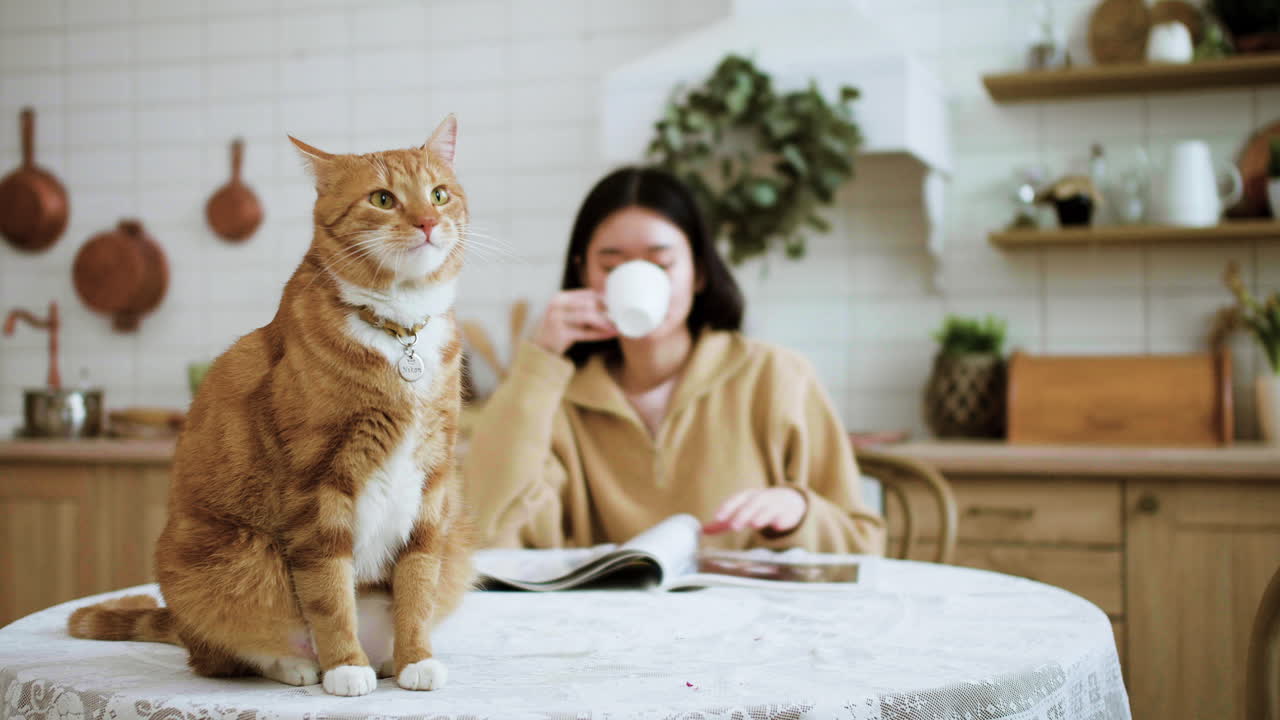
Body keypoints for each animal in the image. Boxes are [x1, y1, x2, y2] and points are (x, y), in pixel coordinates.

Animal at [67, 117, 476, 696]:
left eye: (439, 194)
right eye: (383, 199)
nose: (426, 222)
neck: (398, 334)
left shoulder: (434, 483)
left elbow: (418, 583)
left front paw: (416, 658)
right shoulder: (317, 486)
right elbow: (329, 591)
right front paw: (345, 666)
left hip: (458, 534)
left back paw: (386, 659)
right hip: (230, 558)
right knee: (227, 652)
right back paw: (305, 667)